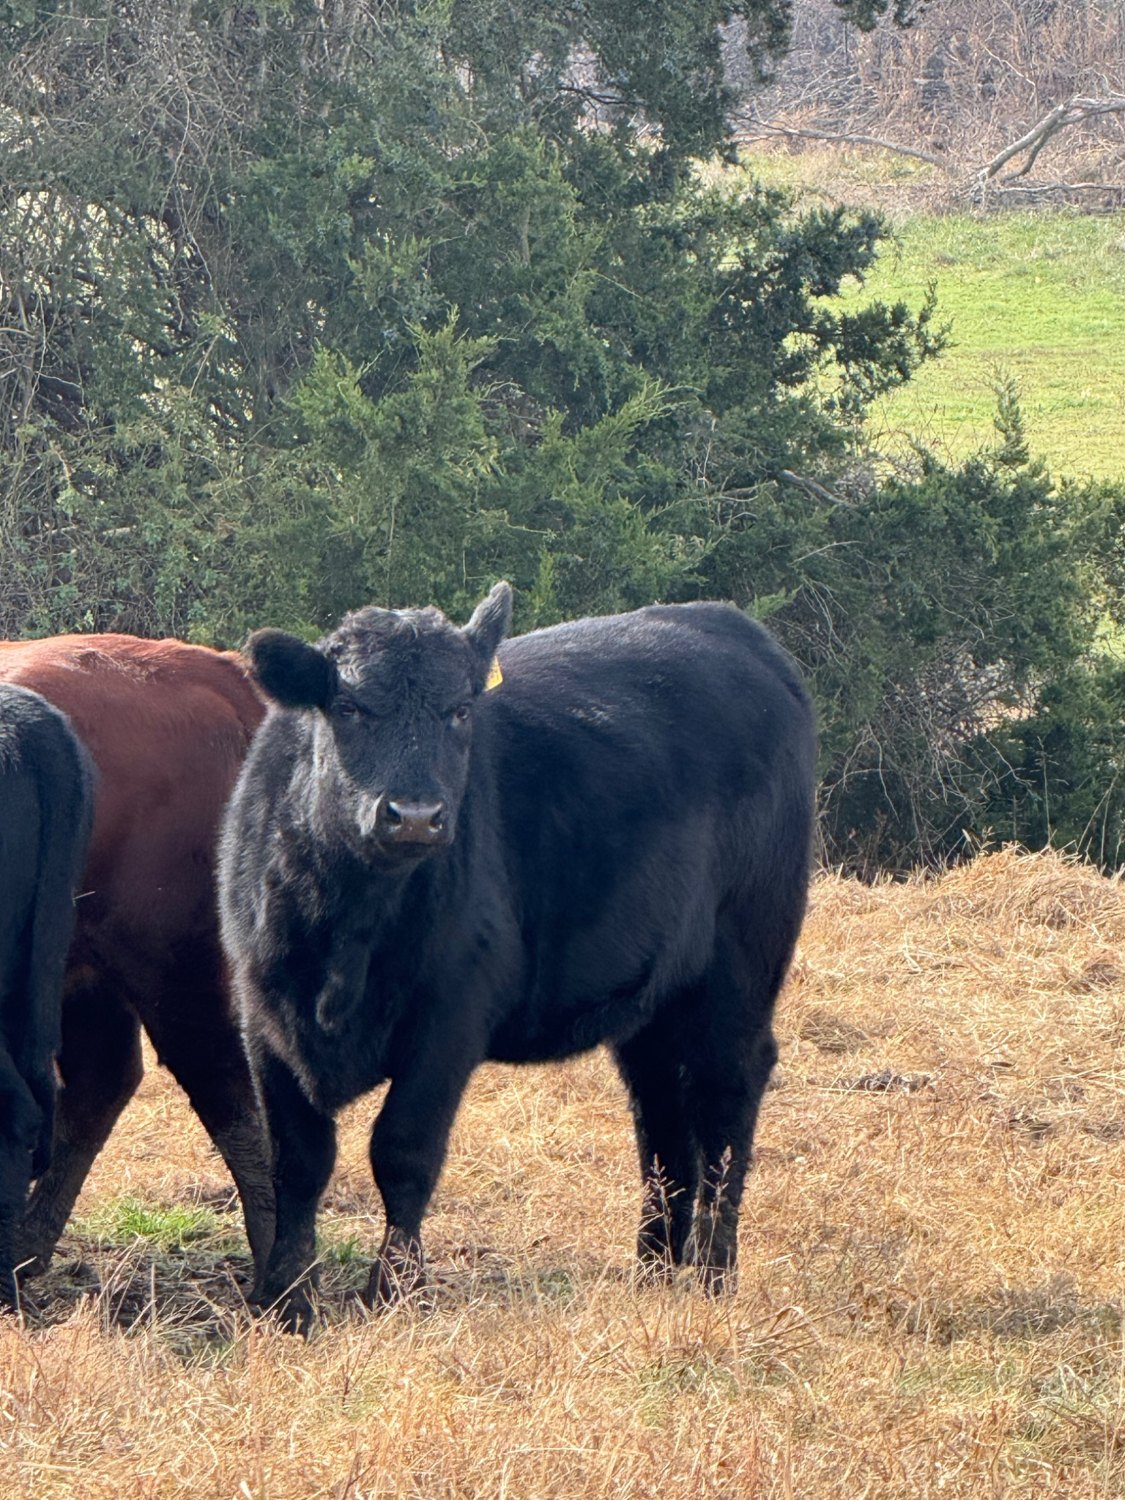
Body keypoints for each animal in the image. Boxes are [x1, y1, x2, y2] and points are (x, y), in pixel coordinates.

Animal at [0, 635, 274, 1285]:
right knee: (101, 1084)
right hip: (89, 976)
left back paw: (284, 1283)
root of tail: (206, 671)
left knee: (226, 1090)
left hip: (171, 969)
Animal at [220, 584, 816, 1333]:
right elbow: (297, 1163)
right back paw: (653, 1273)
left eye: (460, 710)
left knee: (725, 1090)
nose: (415, 815)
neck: (347, 932)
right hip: (653, 996)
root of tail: (730, 626)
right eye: (349, 707)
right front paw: (284, 1303)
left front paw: (392, 1295)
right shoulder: (264, 1016)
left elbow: (403, 1152)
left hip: (743, 960)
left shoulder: (449, 1019)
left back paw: (712, 1272)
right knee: (660, 1114)